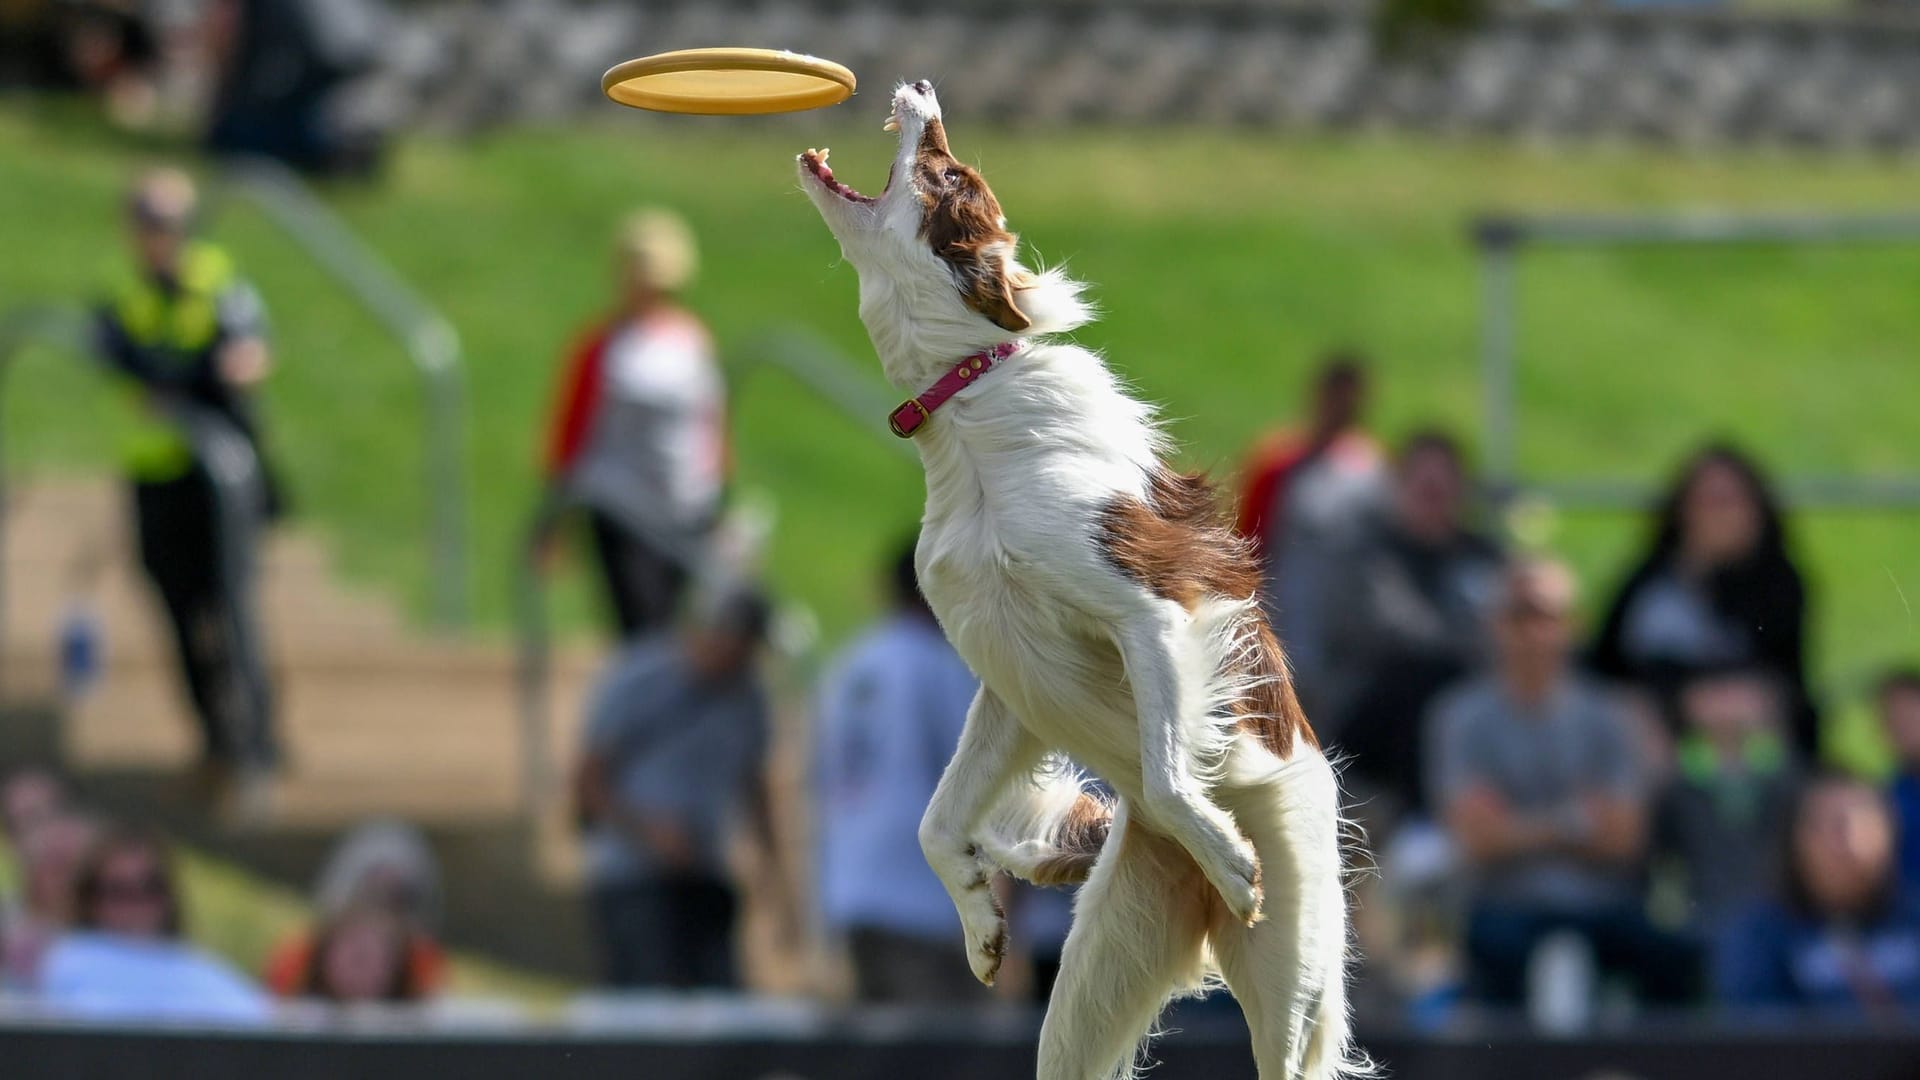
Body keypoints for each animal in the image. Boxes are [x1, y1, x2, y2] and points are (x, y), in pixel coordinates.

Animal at [794, 79, 1367, 1068]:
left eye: (950, 174)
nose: (920, 88)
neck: (970, 409)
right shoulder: (1009, 680)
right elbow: (934, 822)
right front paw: (982, 922)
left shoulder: (1153, 610)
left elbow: (1172, 775)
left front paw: (1229, 855)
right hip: (1093, 987)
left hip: (1294, 980)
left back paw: (1230, 867)